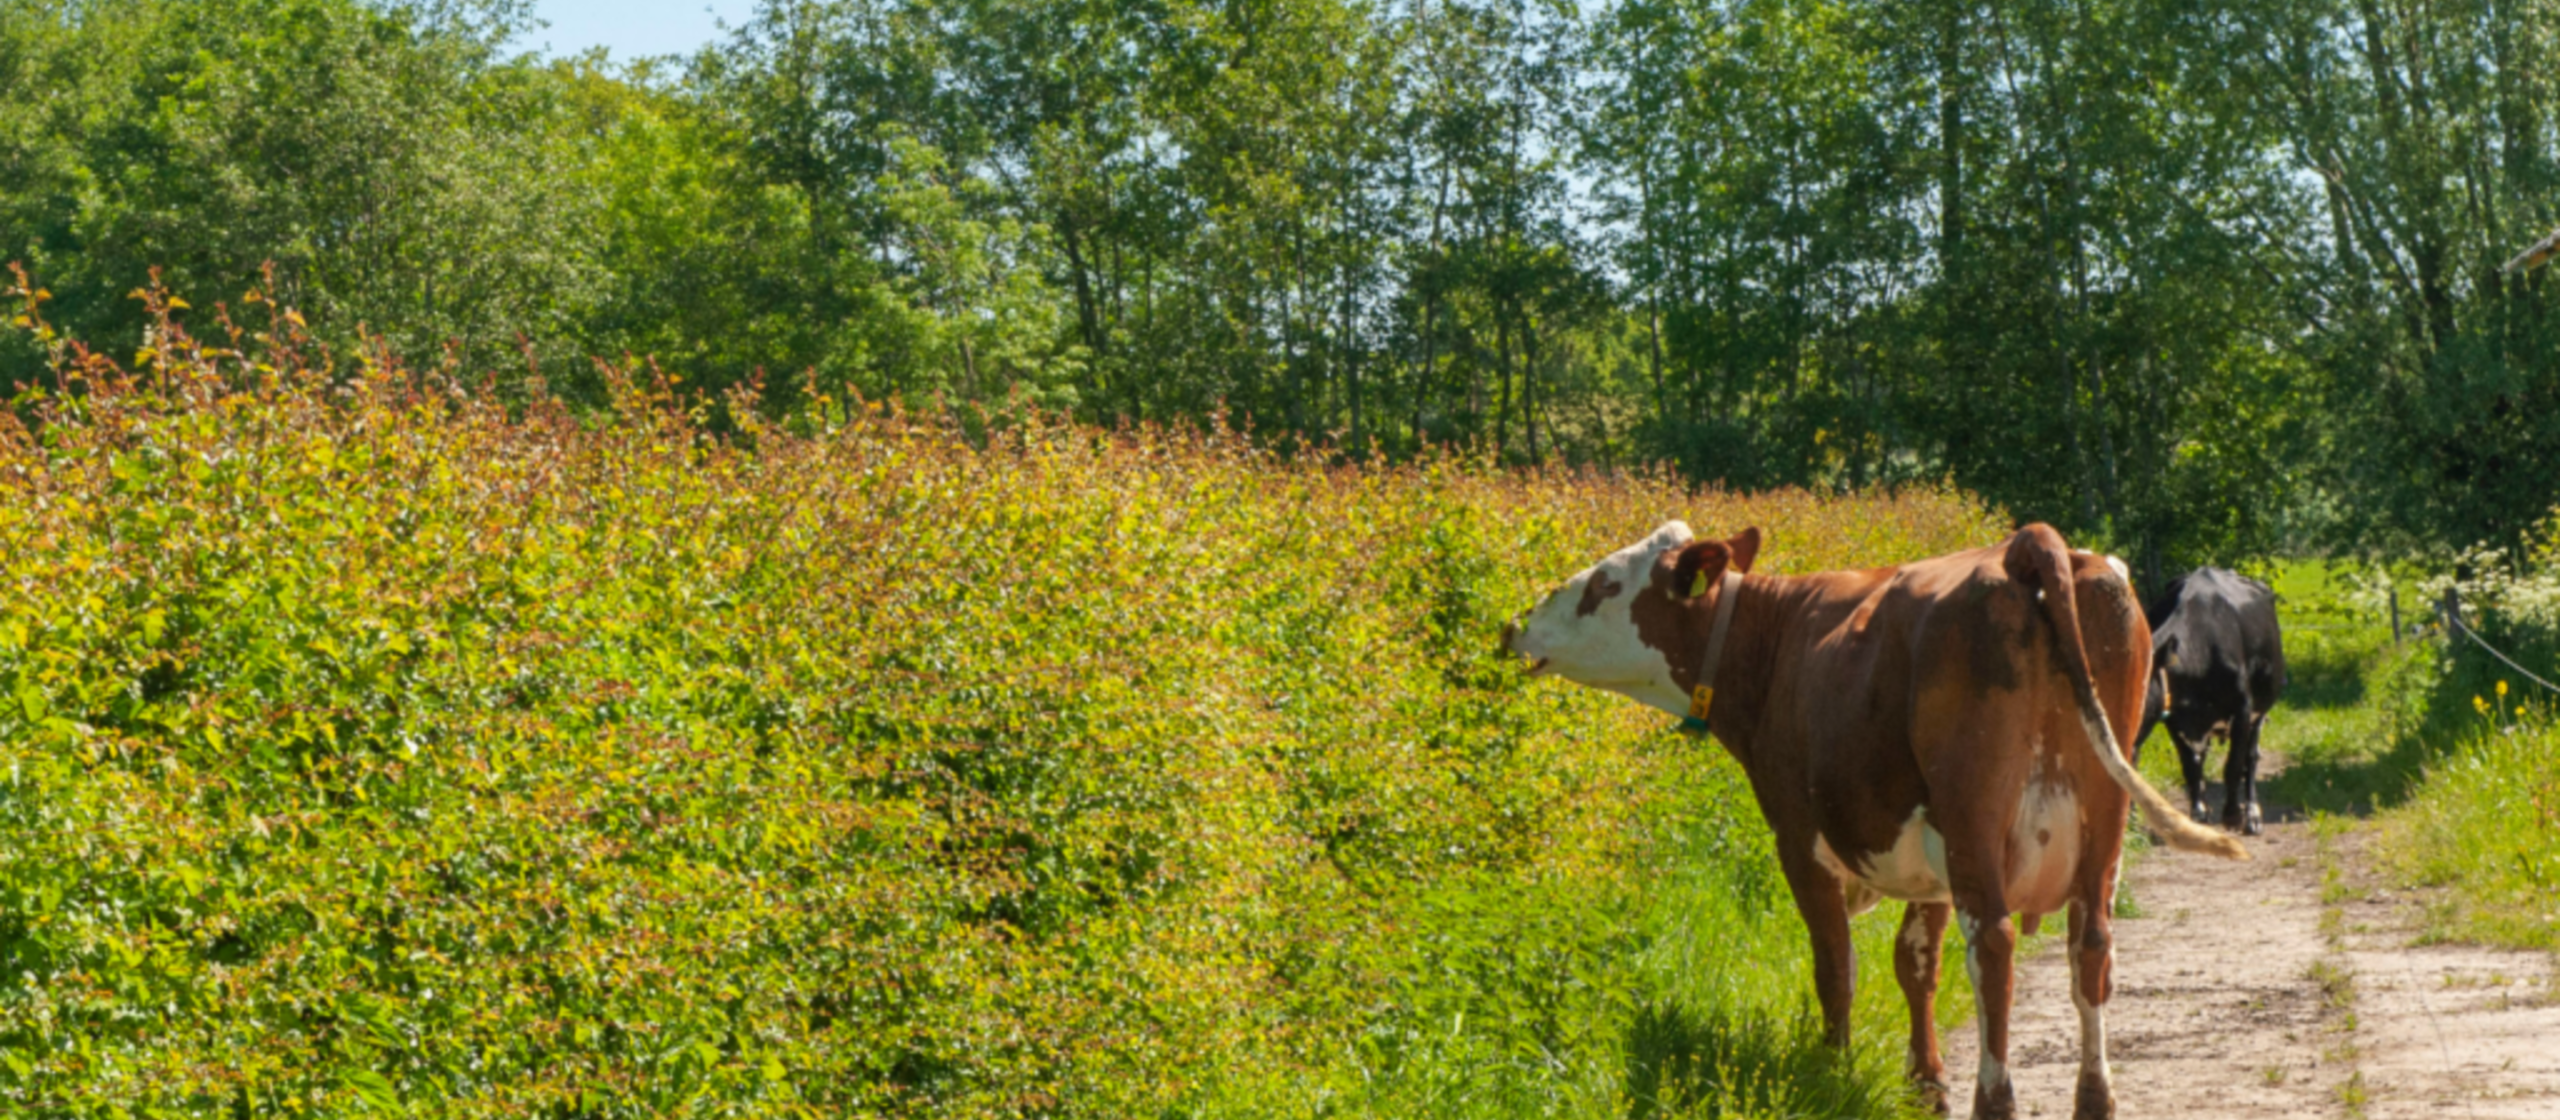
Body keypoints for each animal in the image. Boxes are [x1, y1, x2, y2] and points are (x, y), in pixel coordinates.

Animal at [1501, 521, 2247, 1120]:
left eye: (1604, 582)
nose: (1516, 625)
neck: (1776, 642)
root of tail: (2028, 545)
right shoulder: (1930, 848)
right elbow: (1916, 963)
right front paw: (1925, 1082)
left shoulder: (1799, 837)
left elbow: (1836, 965)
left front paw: (1833, 1073)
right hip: (2101, 810)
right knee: (2089, 943)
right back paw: (2094, 1100)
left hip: (1975, 812)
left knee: (1994, 948)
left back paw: (1994, 1100)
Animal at [2133, 567, 2286, 836]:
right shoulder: (2175, 718)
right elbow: (2190, 765)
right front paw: (2199, 814)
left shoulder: (2242, 708)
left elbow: (2233, 765)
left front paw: (2233, 815)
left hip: (2260, 710)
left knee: (2251, 758)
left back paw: (2253, 816)